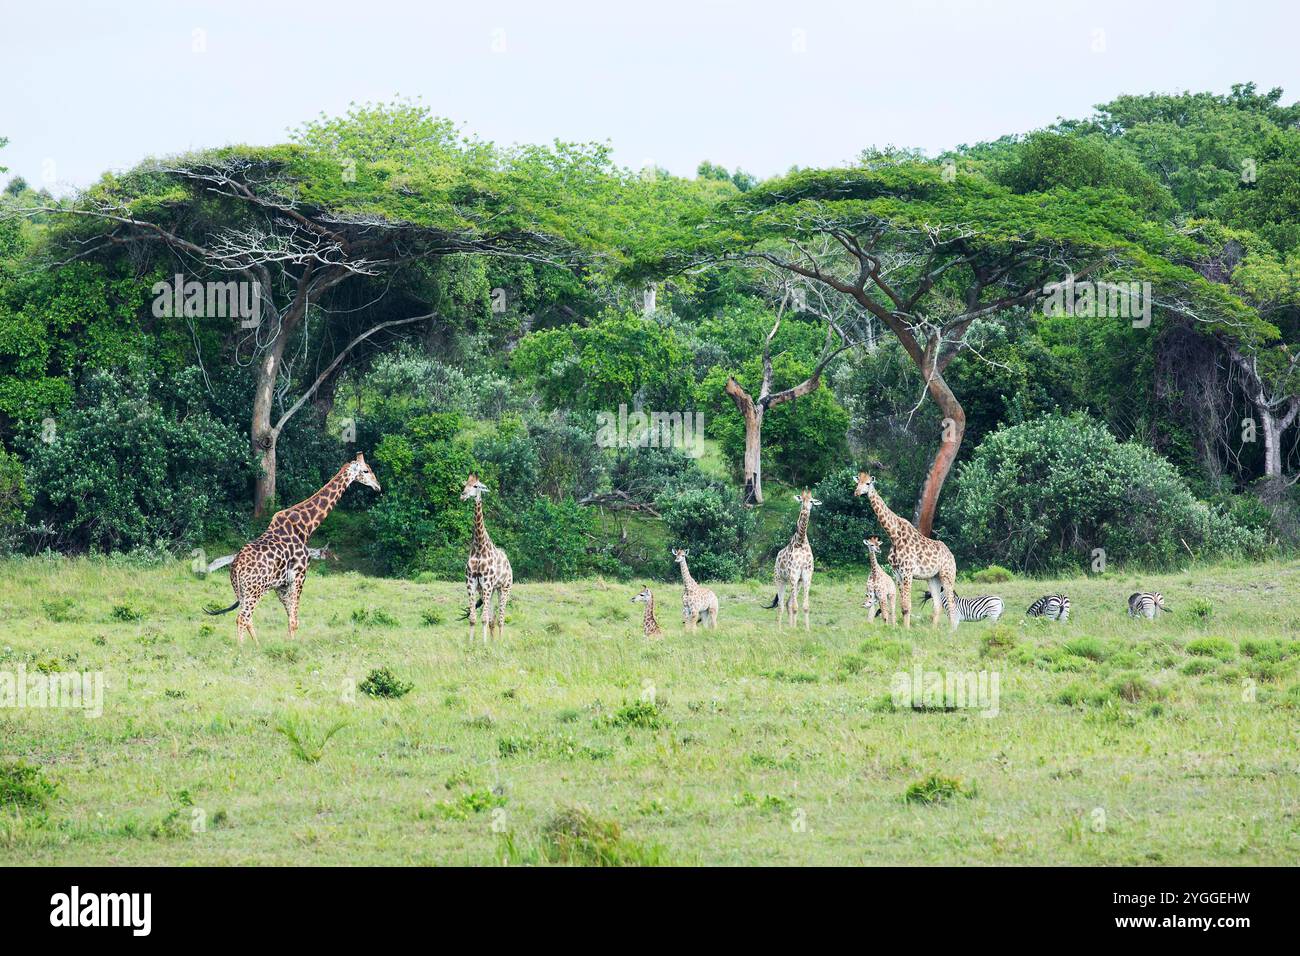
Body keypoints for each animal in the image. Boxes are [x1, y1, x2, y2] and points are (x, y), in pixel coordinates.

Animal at [462, 473, 512, 642]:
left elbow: (483, 618)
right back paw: (493, 642)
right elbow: (473, 618)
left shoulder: (487, 583)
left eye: (476, 486)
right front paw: (471, 644)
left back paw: (501, 642)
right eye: (464, 484)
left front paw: (483, 645)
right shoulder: (472, 583)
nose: (463, 495)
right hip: (491, 589)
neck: (479, 548)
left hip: (504, 588)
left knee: (501, 618)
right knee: (492, 620)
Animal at [764, 489, 816, 632]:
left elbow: (805, 606)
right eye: (801, 500)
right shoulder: (793, 573)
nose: (805, 511)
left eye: (811, 501)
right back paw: (780, 629)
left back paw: (790, 626)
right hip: (780, 579)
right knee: (782, 604)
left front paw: (806, 630)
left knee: (788, 602)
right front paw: (793, 629)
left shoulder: (806, 575)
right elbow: (795, 606)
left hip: (797, 582)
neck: (801, 541)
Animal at [847, 470, 961, 629]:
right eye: (858, 482)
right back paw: (934, 630)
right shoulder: (897, 573)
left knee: (951, 603)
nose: (856, 492)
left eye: (868, 483)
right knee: (937, 605)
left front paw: (906, 629)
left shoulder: (907, 572)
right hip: (933, 578)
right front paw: (903, 628)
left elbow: (907, 605)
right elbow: (902, 606)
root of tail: (952, 555)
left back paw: (951, 630)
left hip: (948, 575)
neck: (894, 535)